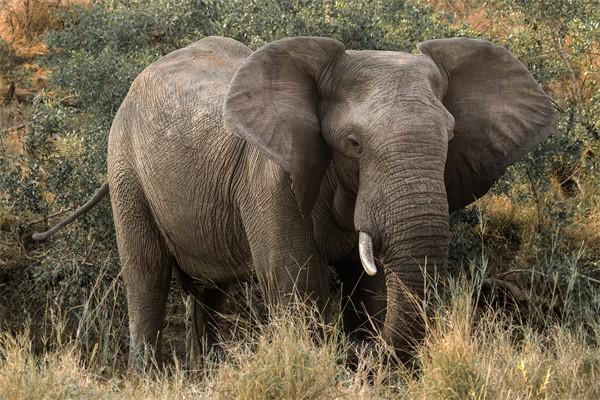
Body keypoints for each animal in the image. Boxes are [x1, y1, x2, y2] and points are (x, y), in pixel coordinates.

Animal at [32, 35, 556, 366]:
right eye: (353, 144)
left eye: (449, 137)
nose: (370, 360)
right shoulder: (271, 178)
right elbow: (297, 280)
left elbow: (370, 289)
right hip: (124, 165)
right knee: (146, 274)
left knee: (209, 293)